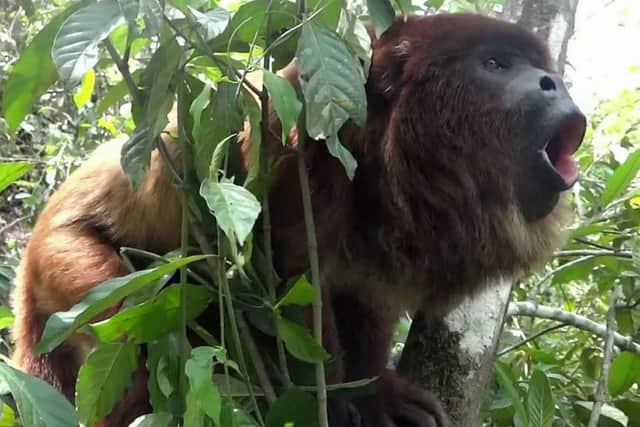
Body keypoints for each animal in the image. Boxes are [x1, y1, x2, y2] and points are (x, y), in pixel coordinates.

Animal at [10, 12, 586, 427]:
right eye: (495, 64)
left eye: (543, 71)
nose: (554, 83)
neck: (385, 151)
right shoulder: (296, 127)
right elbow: (280, 279)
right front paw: (331, 400)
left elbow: (364, 300)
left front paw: (375, 392)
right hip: (67, 266)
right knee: (138, 335)